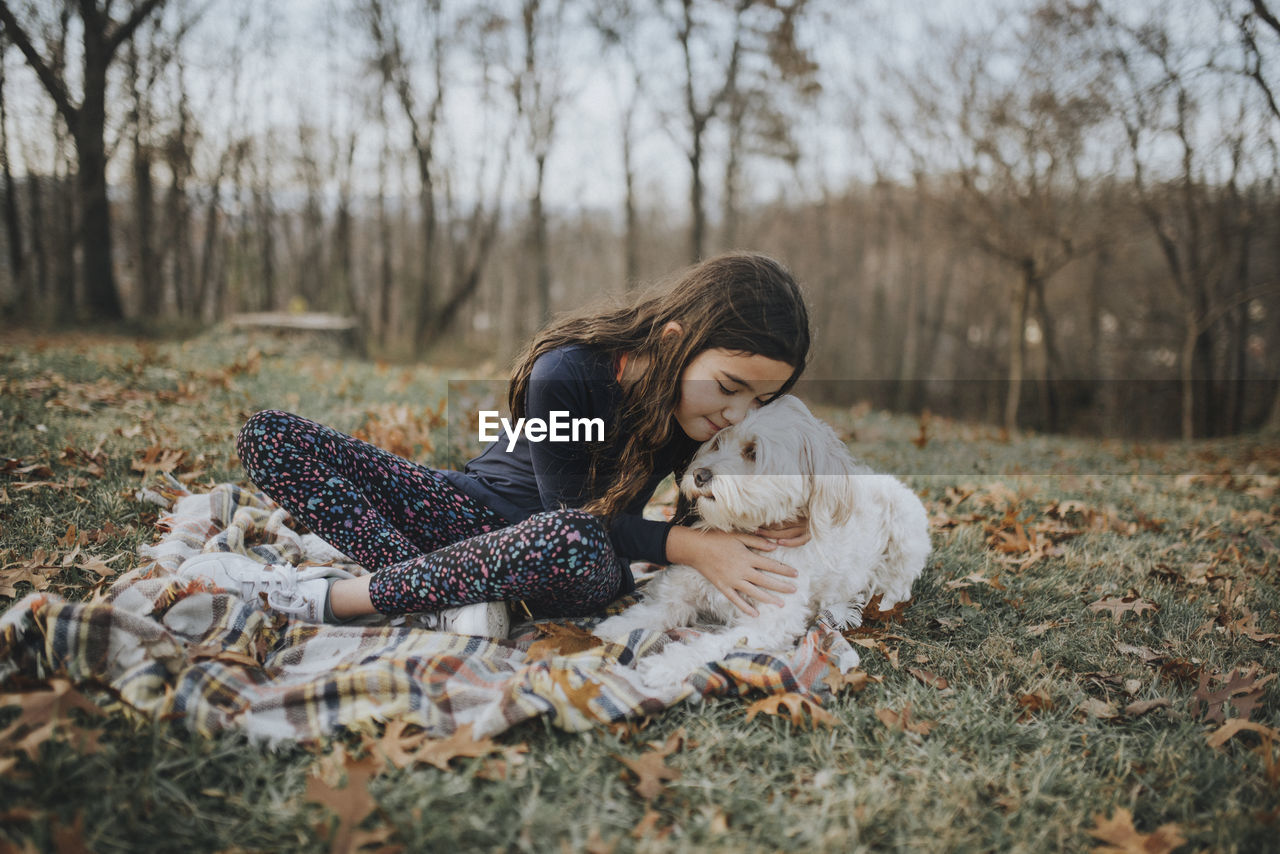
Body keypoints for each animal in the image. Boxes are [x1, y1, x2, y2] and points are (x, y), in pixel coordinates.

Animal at [593, 396, 926, 691]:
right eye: (717, 442)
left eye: (753, 452)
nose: (699, 475)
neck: (743, 535)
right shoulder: (681, 592)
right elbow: (651, 612)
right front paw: (615, 627)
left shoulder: (767, 623)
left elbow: (714, 643)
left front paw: (666, 666)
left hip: (906, 528)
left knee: (897, 585)